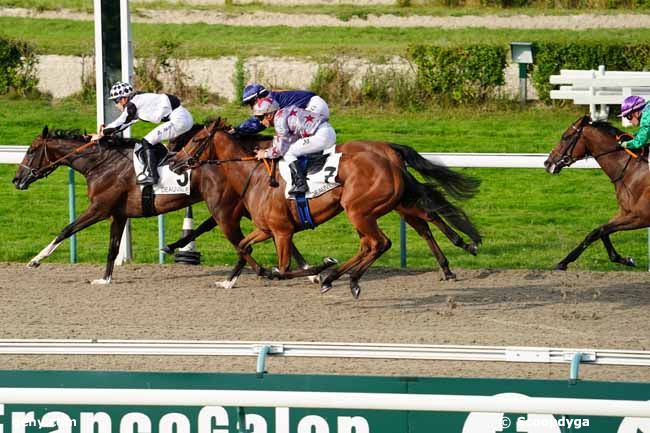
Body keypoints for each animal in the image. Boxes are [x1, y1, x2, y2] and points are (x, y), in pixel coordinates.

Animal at [10, 125, 308, 284]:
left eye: (32, 150)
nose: (16, 180)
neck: (102, 163)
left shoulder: (100, 208)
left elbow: (66, 229)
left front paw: (36, 260)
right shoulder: (118, 214)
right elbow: (112, 247)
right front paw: (104, 278)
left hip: (225, 208)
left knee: (248, 241)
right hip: (239, 207)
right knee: (275, 234)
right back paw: (307, 272)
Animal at [170, 120, 478, 298]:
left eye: (194, 140)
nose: (173, 162)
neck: (252, 175)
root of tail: (389, 155)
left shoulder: (282, 231)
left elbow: (282, 270)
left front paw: (318, 267)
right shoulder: (265, 228)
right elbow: (243, 247)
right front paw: (231, 280)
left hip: (360, 210)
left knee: (385, 240)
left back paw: (348, 279)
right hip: (376, 208)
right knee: (391, 234)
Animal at [540, 115, 644, 270]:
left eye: (565, 137)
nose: (547, 163)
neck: (632, 169)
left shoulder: (640, 216)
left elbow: (596, 232)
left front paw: (563, 262)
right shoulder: (626, 212)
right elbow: (600, 231)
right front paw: (625, 259)